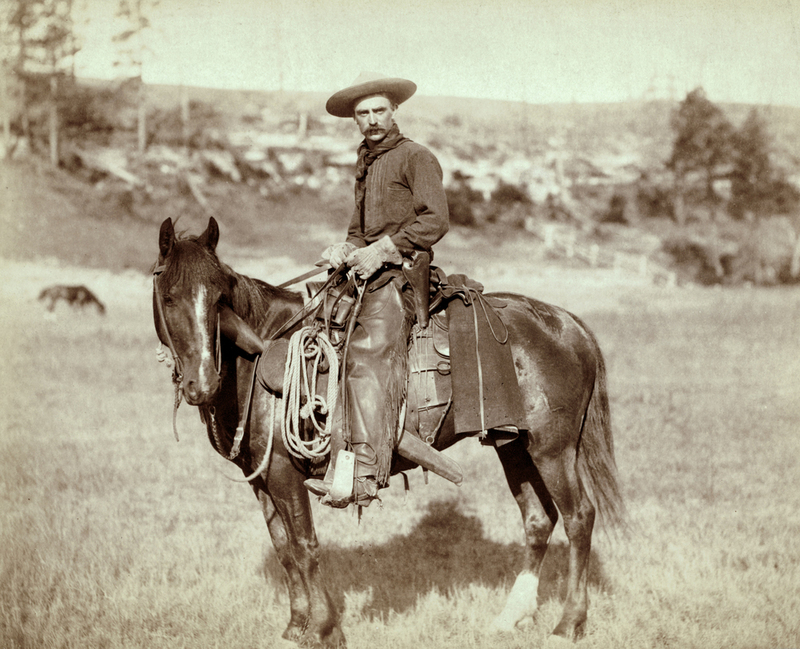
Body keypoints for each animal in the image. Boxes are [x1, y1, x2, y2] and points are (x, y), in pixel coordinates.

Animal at [150, 216, 624, 644]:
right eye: (169, 298)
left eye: (218, 298)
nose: (202, 383)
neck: (258, 356)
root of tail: (568, 323)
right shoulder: (262, 479)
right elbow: (284, 549)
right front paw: (295, 625)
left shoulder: (285, 474)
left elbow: (305, 547)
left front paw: (322, 629)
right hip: (513, 445)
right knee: (538, 519)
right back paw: (511, 617)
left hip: (553, 449)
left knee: (579, 517)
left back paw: (569, 624)